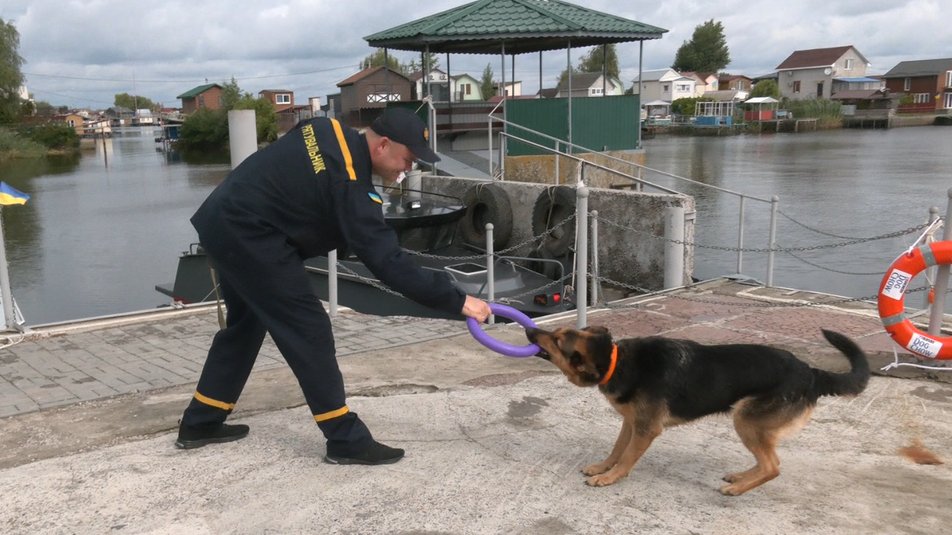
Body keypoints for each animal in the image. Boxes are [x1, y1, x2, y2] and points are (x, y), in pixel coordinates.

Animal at [528, 324, 872, 496]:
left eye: (557, 339)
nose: (531, 331)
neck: (616, 360)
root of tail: (811, 371)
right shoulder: (631, 422)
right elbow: (616, 449)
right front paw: (603, 467)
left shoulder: (646, 428)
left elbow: (626, 458)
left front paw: (610, 478)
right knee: (766, 462)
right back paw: (742, 476)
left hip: (745, 418)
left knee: (773, 466)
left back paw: (738, 489)